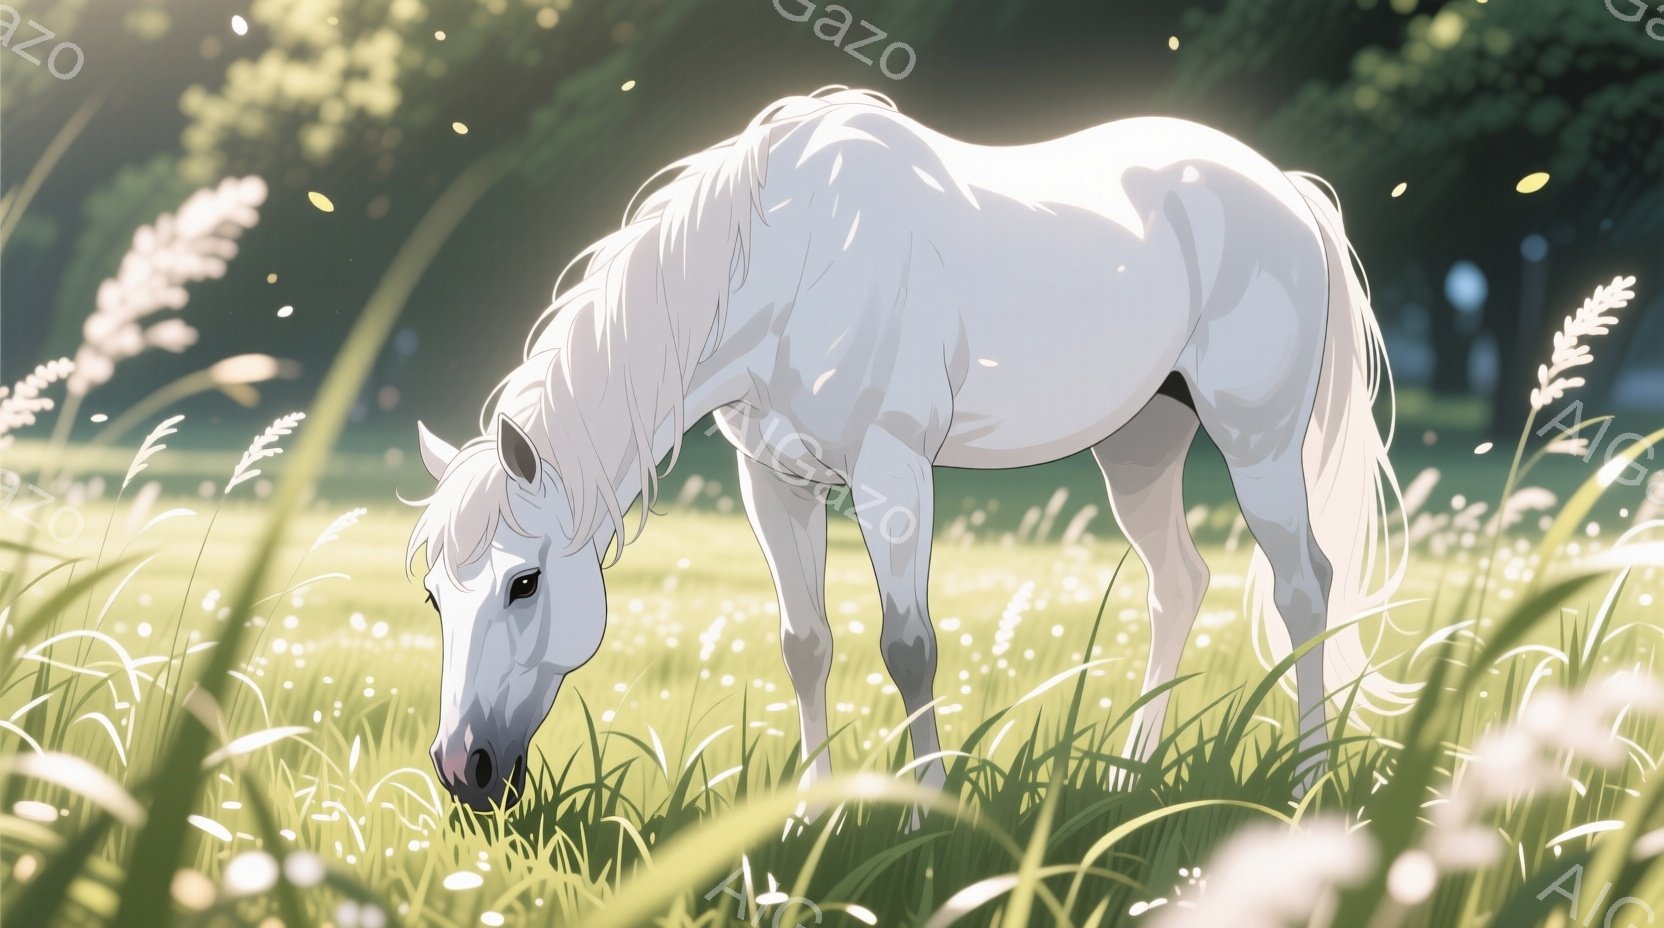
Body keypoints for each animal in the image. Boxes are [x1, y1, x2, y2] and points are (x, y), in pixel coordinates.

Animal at [407, 87, 1409, 811]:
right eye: (433, 598)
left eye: (524, 583)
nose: (463, 771)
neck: (793, 265)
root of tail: (1285, 189)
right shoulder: (773, 480)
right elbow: (804, 643)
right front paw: (810, 814)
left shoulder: (892, 471)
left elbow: (909, 646)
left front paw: (931, 813)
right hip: (1141, 443)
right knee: (1179, 582)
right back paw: (1133, 777)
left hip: (1257, 440)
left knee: (1302, 588)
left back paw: (1308, 784)